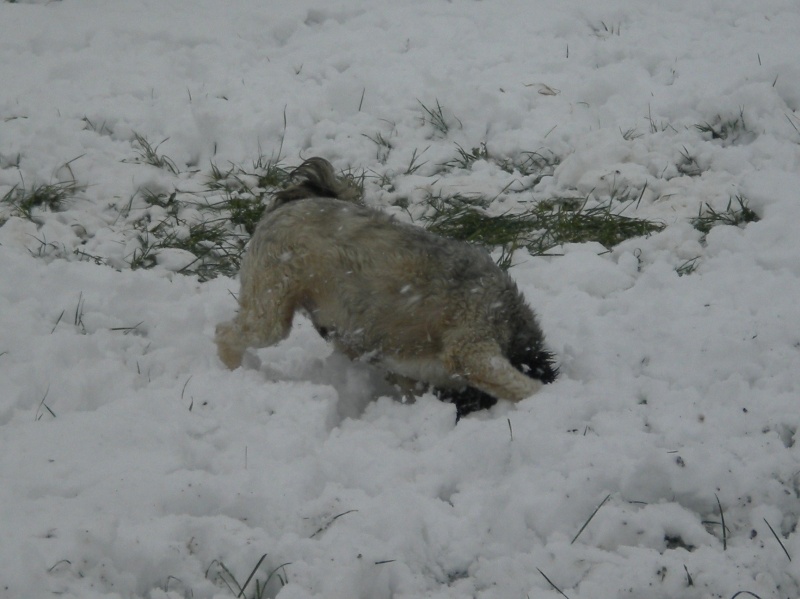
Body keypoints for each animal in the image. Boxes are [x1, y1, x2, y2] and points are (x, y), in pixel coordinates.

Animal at [216, 157, 560, 414]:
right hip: (270, 306)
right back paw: (234, 373)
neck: (510, 320)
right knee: (227, 332)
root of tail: (287, 206)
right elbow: (520, 385)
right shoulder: (471, 343)